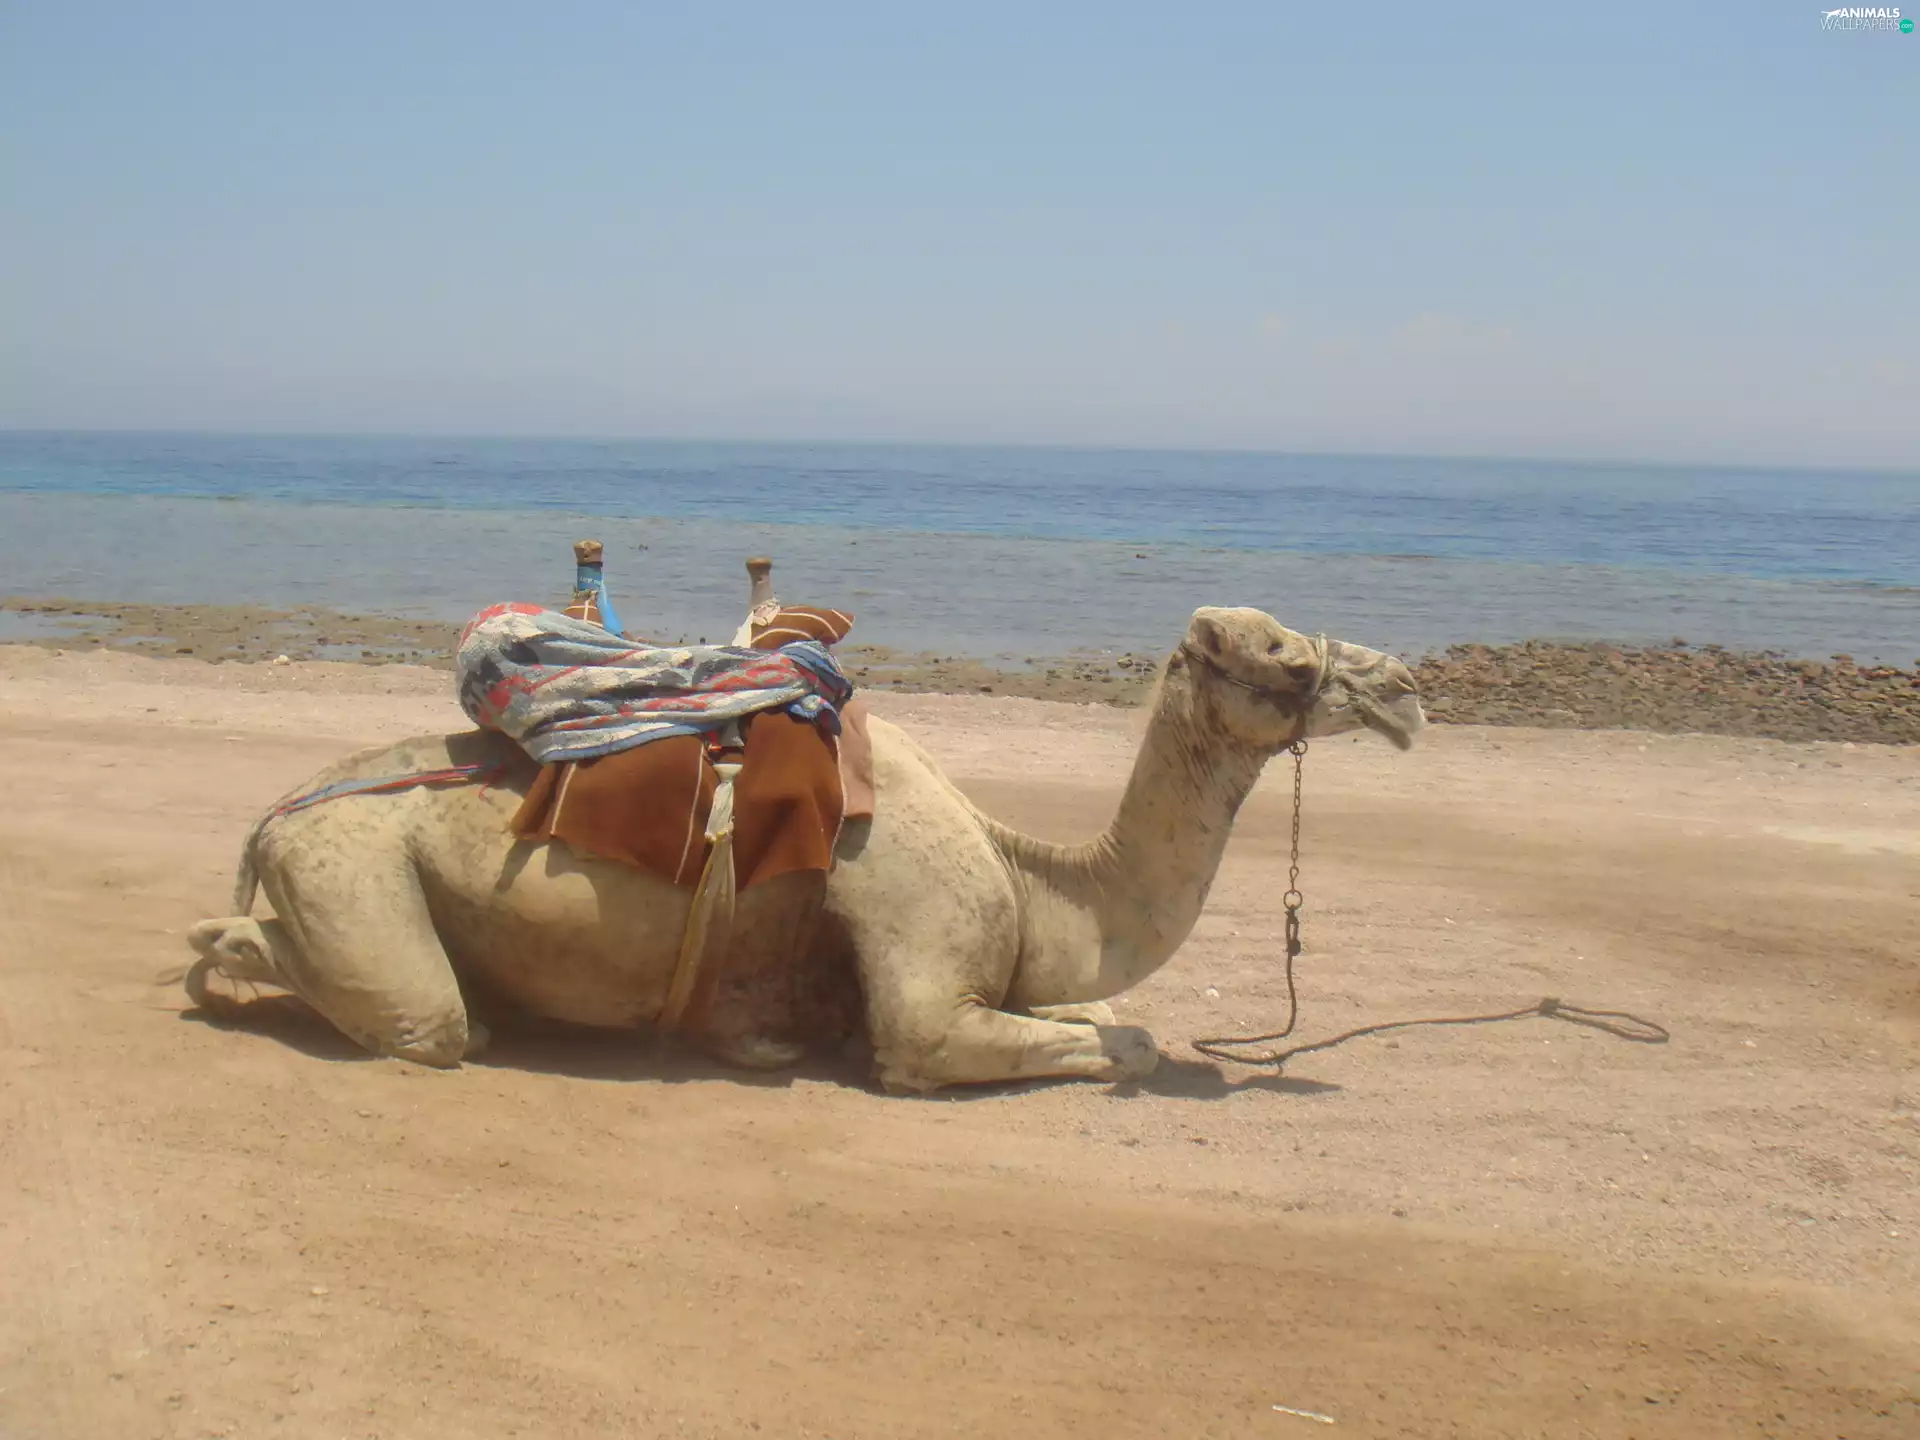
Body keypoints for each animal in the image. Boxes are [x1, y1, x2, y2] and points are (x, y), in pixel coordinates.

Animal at [184, 607, 1424, 1092]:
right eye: (1285, 657)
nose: (1409, 689)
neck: (1032, 875)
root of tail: (278, 812)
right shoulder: (926, 997)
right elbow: (1116, 1042)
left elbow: (1112, 1014)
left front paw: (762, 1038)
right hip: (355, 874)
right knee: (426, 1019)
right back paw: (217, 958)